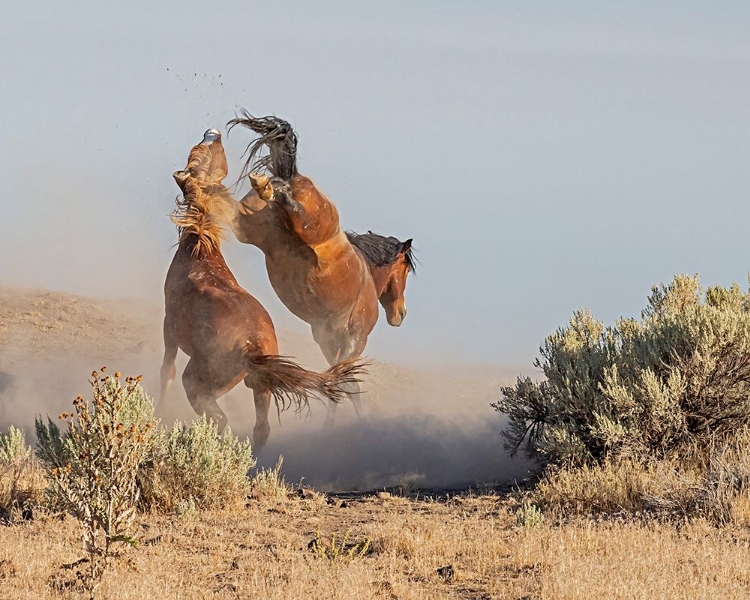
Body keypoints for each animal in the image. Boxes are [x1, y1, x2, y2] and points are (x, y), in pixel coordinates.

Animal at [161, 132, 368, 450]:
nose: (212, 134)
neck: (200, 253)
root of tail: (253, 346)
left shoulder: (169, 331)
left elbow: (165, 375)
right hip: (259, 386)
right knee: (261, 429)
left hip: (198, 382)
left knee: (219, 419)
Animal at [217, 113, 418, 422]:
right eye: (405, 271)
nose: (401, 314)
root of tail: (295, 177)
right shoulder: (354, 340)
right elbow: (345, 380)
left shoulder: (328, 341)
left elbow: (345, 381)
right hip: (307, 226)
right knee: (290, 205)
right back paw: (272, 188)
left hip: (247, 226)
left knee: (232, 207)